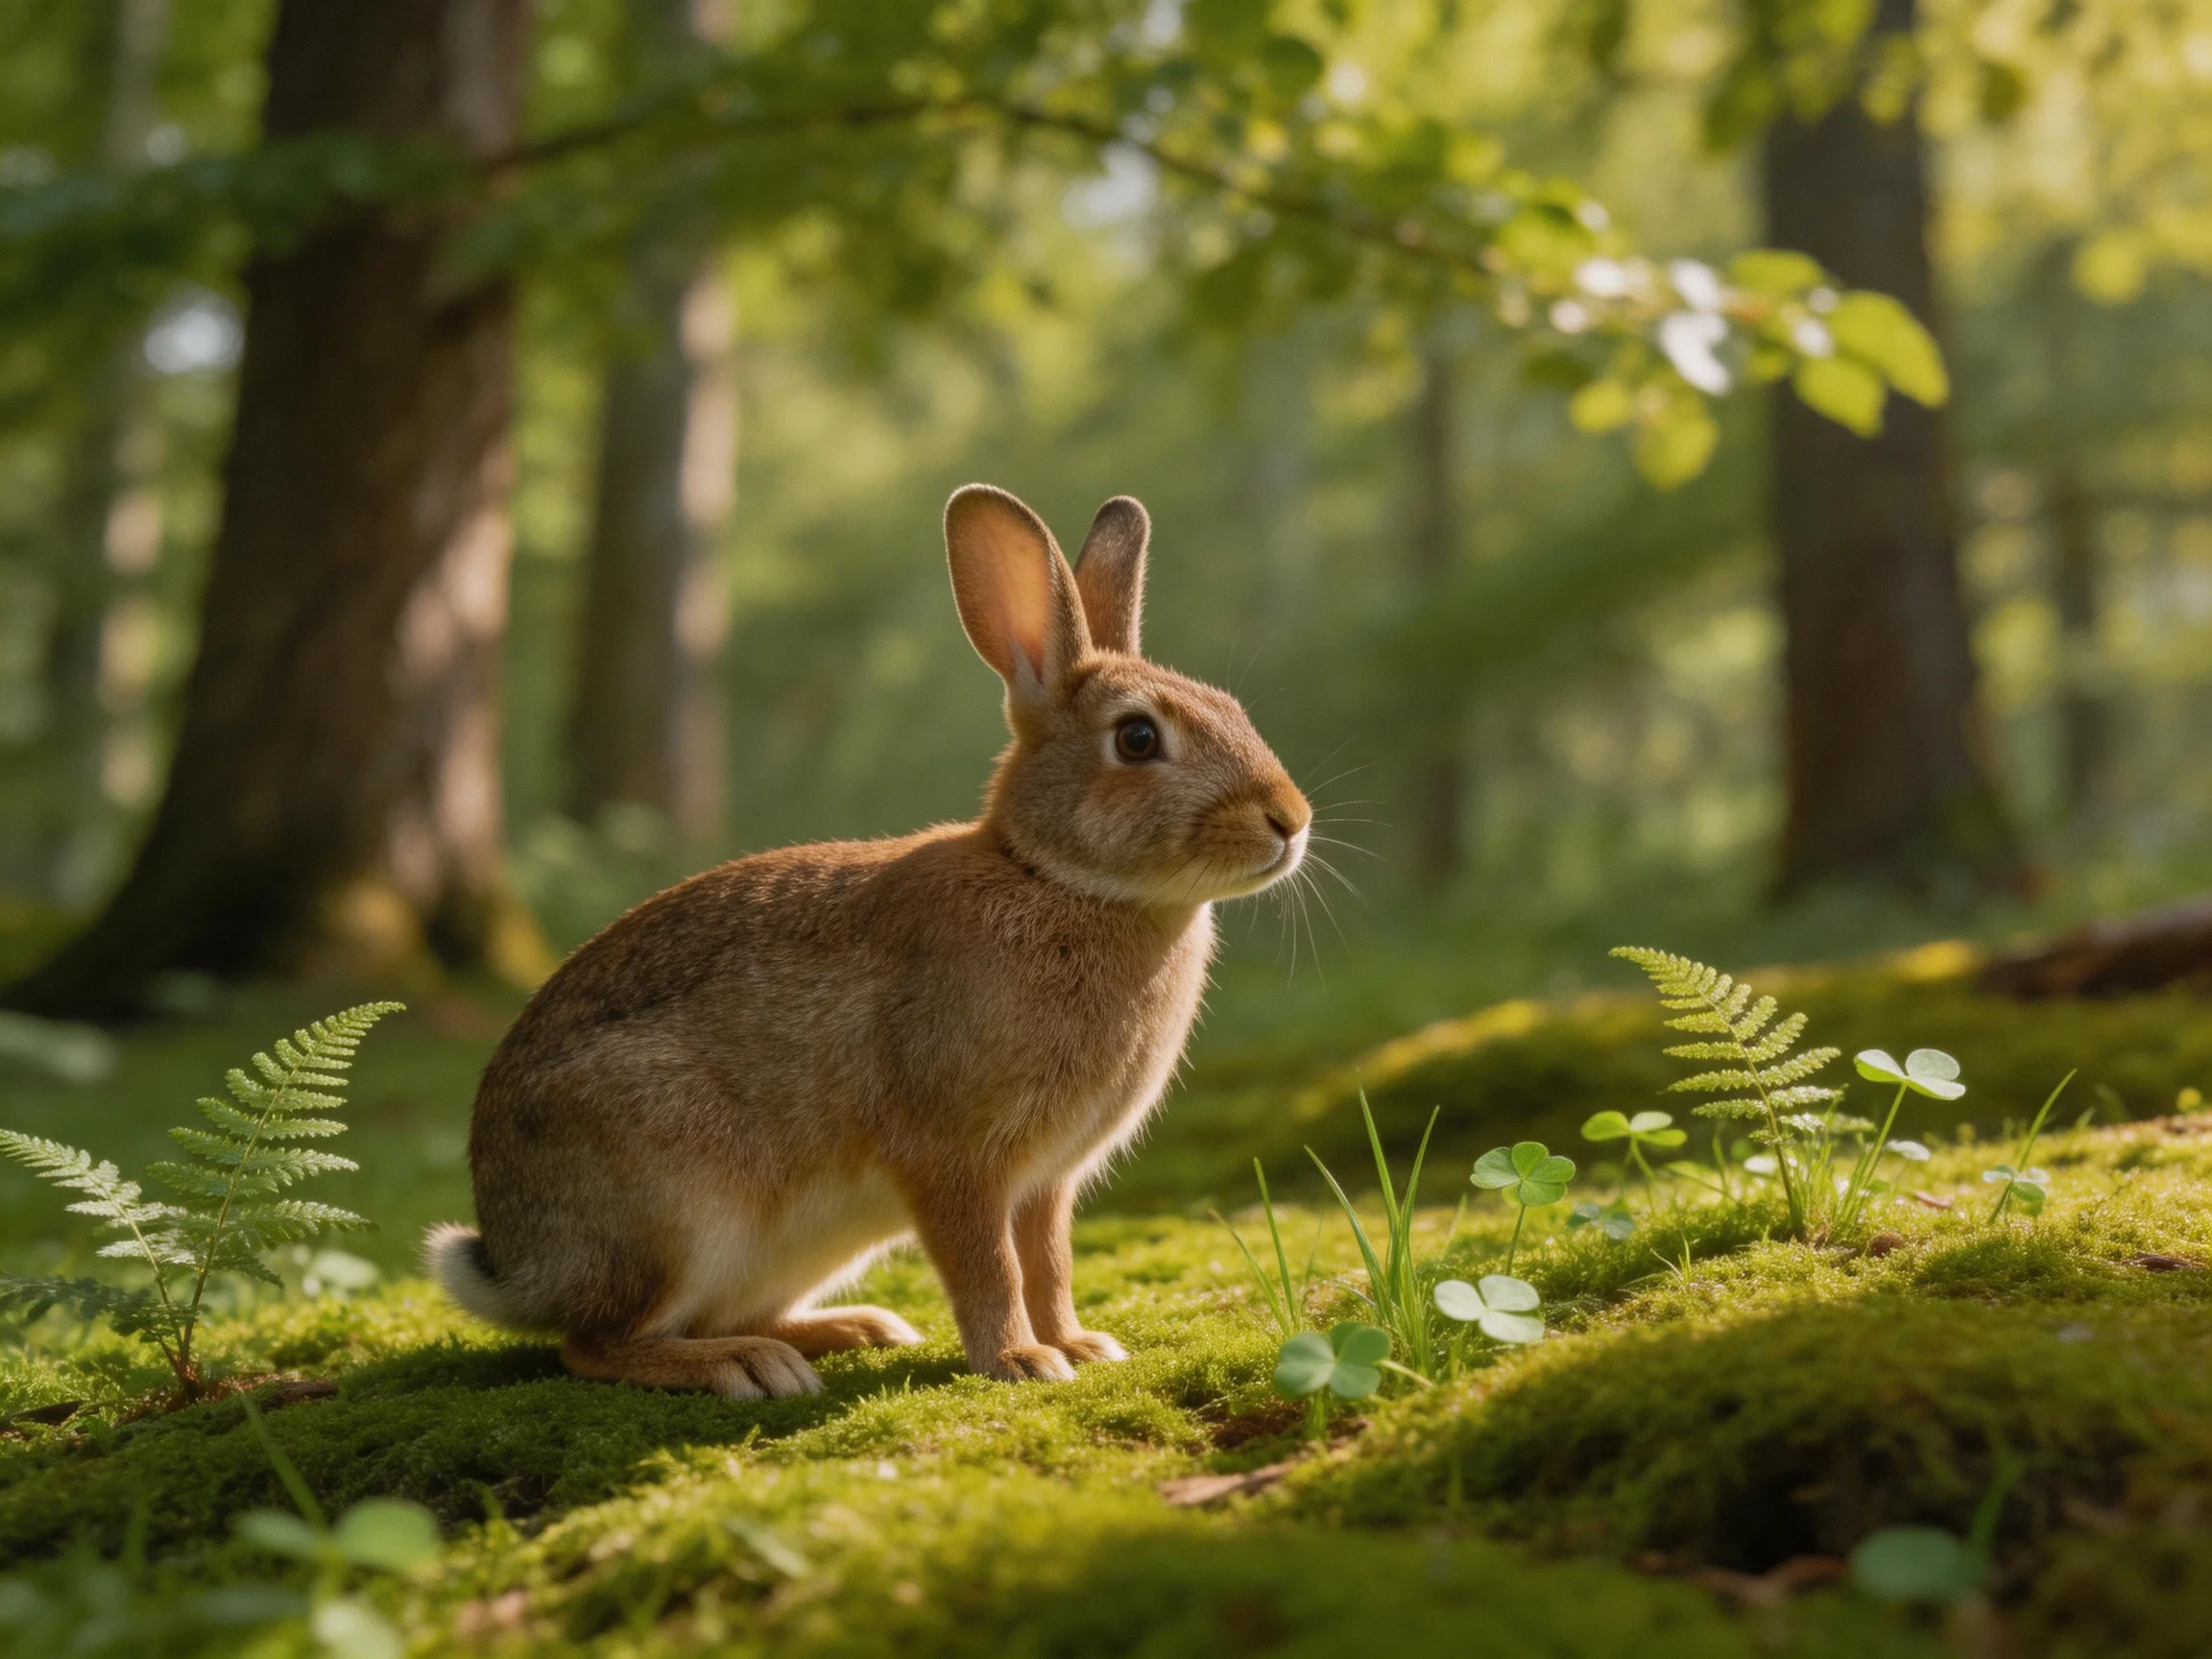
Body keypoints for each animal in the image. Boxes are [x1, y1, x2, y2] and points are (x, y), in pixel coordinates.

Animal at [425, 484, 1311, 1397]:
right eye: (1137, 739)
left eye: (1233, 711)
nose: (1290, 819)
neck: (1054, 879)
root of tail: (517, 1263)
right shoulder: (951, 1156)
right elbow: (989, 1267)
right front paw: (1021, 1361)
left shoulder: (1045, 1181)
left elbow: (1050, 1262)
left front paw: (1080, 1344)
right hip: (677, 1208)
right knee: (594, 1345)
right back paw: (746, 1366)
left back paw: (853, 1329)